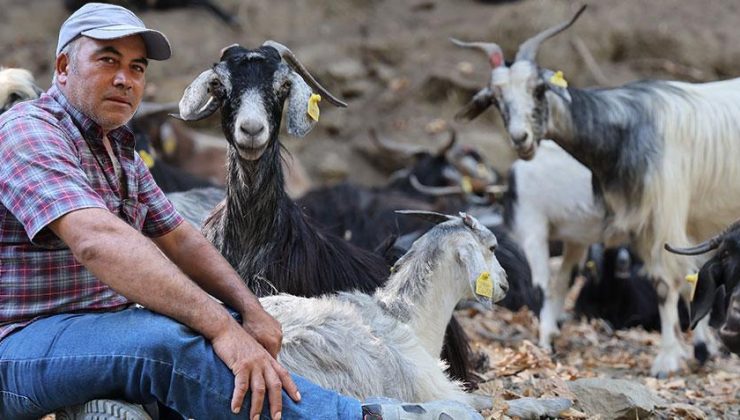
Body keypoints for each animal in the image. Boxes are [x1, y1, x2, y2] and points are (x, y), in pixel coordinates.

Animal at [450, 4, 740, 378]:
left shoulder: (663, 216)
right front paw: (697, 350)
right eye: (496, 98)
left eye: (539, 88)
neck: (627, 130)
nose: (521, 139)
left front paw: (667, 359)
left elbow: (667, 282)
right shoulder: (645, 223)